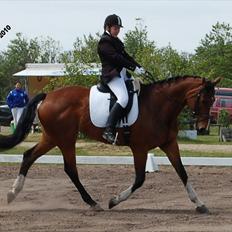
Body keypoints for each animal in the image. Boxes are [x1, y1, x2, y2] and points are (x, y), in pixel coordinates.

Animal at [0, 75, 220, 213]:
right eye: (204, 99)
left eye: (213, 100)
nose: (202, 128)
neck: (159, 105)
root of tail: (49, 95)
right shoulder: (139, 148)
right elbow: (140, 179)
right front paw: (114, 201)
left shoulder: (169, 144)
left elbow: (183, 173)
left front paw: (200, 204)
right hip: (65, 139)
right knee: (70, 169)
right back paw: (93, 203)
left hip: (51, 138)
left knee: (29, 156)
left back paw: (12, 193)